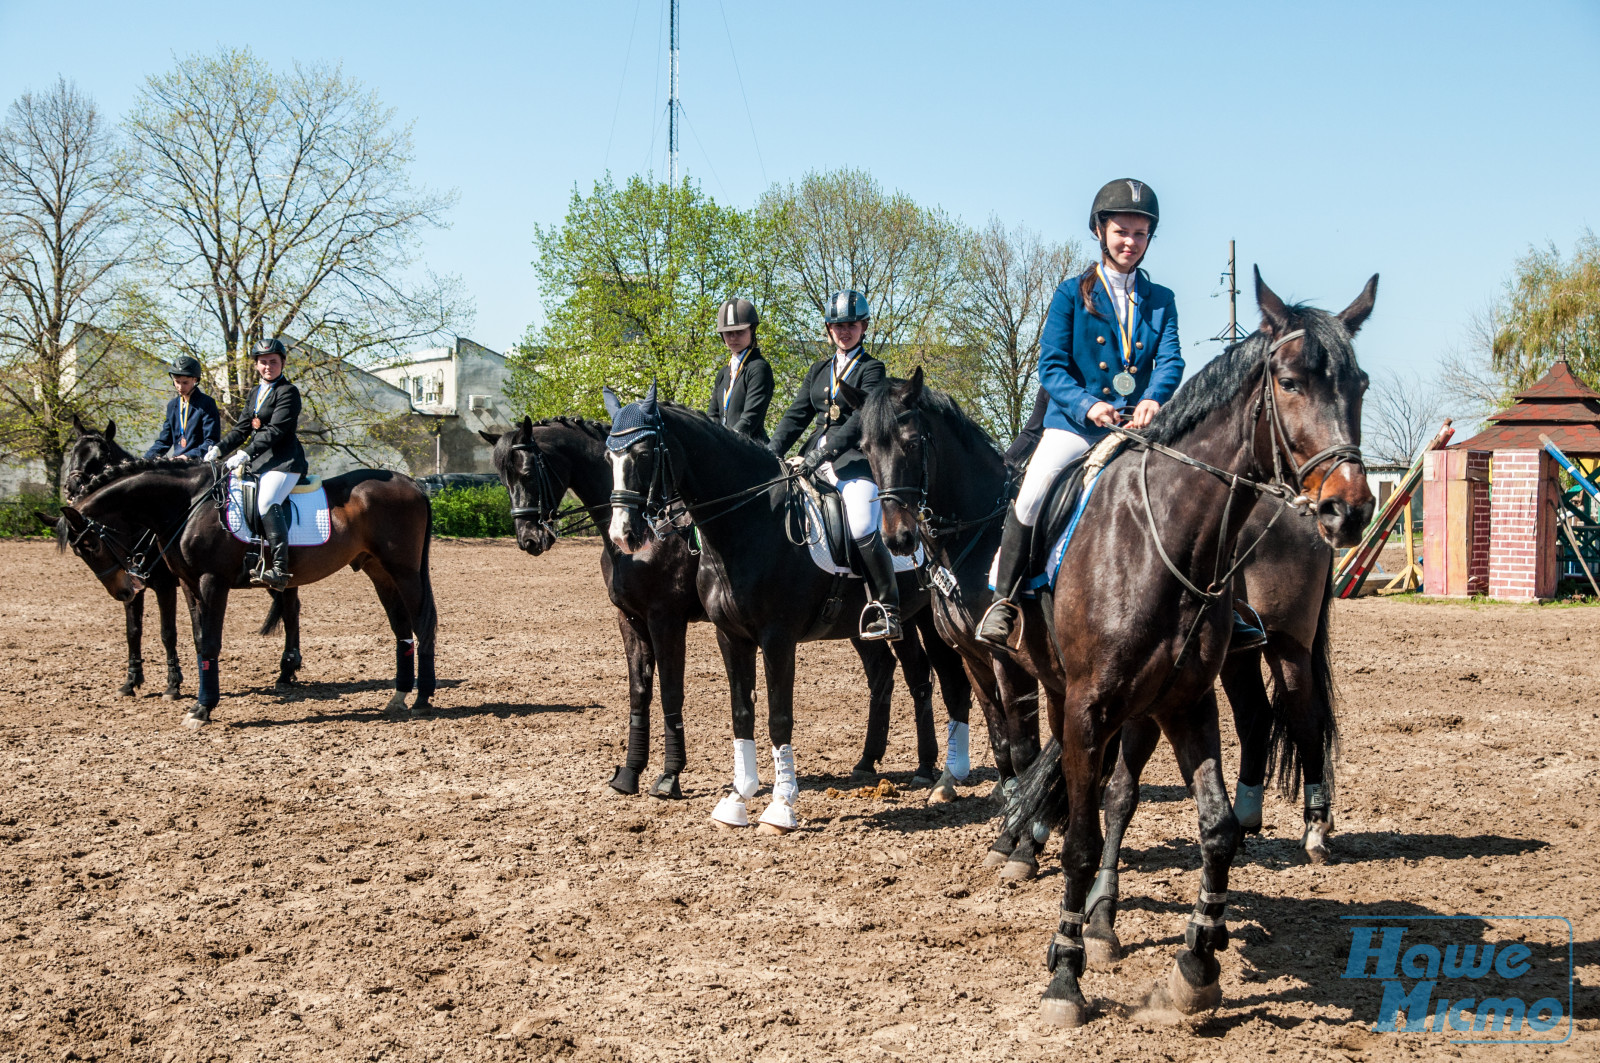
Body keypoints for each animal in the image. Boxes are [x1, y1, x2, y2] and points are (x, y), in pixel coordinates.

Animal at [40, 419, 305, 701]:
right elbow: (133, 631)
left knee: (291, 609)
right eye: (73, 453)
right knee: (290, 608)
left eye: (100, 458)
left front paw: (173, 684)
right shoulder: (133, 584)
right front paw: (131, 681)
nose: (70, 489)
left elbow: (168, 632)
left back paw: (288, 669)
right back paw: (289, 669)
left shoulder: (165, 585)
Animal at [58, 457, 438, 730]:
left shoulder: (211, 582)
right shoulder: (188, 584)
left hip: (403, 571)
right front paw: (197, 702)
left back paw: (422, 700)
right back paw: (399, 696)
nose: (125, 589)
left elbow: (210, 642)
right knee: (402, 628)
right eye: (80, 550)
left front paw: (202, 708)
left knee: (423, 624)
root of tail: (412, 484)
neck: (188, 505)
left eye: (90, 545)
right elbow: (198, 640)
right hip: (379, 571)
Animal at [480, 416, 966, 806]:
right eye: (500, 476)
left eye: (527, 470)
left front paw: (669, 777)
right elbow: (639, 694)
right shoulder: (631, 621)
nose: (529, 539)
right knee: (884, 673)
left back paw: (928, 769)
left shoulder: (666, 619)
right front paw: (629, 774)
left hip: (920, 616)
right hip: (858, 623)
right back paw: (869, 762)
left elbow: (671, 693)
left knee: (925, 676)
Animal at [601, 393, 966, 832]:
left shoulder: (774, 637)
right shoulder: (730, 636)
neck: (752, 523)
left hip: (930, 617)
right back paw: (887, 765)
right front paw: (737, 798)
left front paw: (780, 806)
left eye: (642, 454)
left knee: (943, 679)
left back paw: (941, 775)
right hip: (885, 624)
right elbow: (742, 713)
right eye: (608, 456)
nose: (623, 535)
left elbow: (778, 717)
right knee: (903, 675)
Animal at [864, 270, 1376, 1024]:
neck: (1162, 534)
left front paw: (1185, 962)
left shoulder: (1167, 700)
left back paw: (1309, 831)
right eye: (1287, 381)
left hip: (1273, 648)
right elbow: (1062, 796)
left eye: (1358, 384)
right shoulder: (1057, 686)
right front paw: (1076, 952)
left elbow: (1197, 826)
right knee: (1198, 750)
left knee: (1291, 723)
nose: (1350, 507)